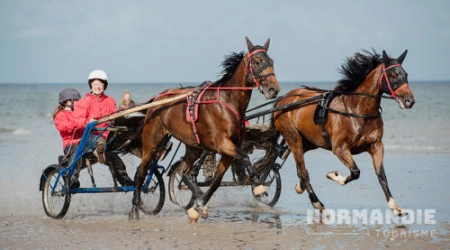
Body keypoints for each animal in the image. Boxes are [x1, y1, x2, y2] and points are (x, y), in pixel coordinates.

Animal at [128, 36, 280, 222]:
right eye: (257, 62)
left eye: (271, 61)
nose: (273, 89)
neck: (227, 102)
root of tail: (157, 99)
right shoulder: (221, 143)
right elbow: (244, 156)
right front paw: (259, 187)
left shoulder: (229, 149)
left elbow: (216, 181)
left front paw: (199, 205)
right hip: (152, 141)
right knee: (142, 172)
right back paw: (134, 209)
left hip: (193, 145)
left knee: (184, 171)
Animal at [272, 49, 414, 217]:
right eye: (392, 75)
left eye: (405, 74)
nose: (409, 101)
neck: (357, 110)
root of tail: (283, 100)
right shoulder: (340, 148)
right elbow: (355, 172)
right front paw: (334, 175)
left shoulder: (376, 146)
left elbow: (381, 176)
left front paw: (395, 206)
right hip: (293, 138)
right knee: (304, 172)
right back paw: (317, 203)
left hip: (309, 141)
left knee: (300, 168)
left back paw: (299, 186)